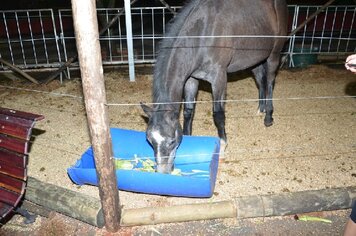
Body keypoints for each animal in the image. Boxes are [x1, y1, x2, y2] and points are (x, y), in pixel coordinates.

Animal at [140, 0, 288, 173]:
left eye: (171, 140)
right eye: (150, 140)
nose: (163, 172)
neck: (202, 36)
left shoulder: (219, 79)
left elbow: (218, 114)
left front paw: (222, 147)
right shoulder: (191, 79)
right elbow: (189, 111)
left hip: (273, 55)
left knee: (270, 81)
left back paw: (268, 116)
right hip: (255, 59)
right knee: (260, 80)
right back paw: (261, 108)